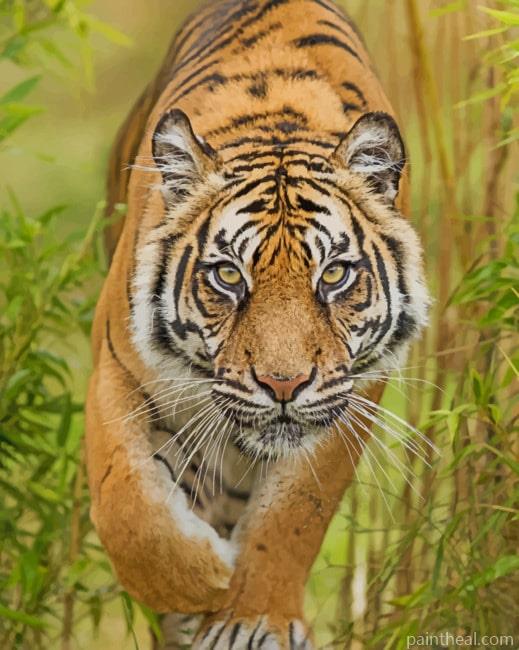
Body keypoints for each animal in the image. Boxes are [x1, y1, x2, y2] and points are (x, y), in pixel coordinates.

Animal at [85, 0, 430, 648]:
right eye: (227, 276)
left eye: (334, 274)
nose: (283, 385)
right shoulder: (116, 370)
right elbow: (127, 502)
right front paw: (198, 584)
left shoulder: (351, 394)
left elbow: (295, 513)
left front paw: (249, 617)